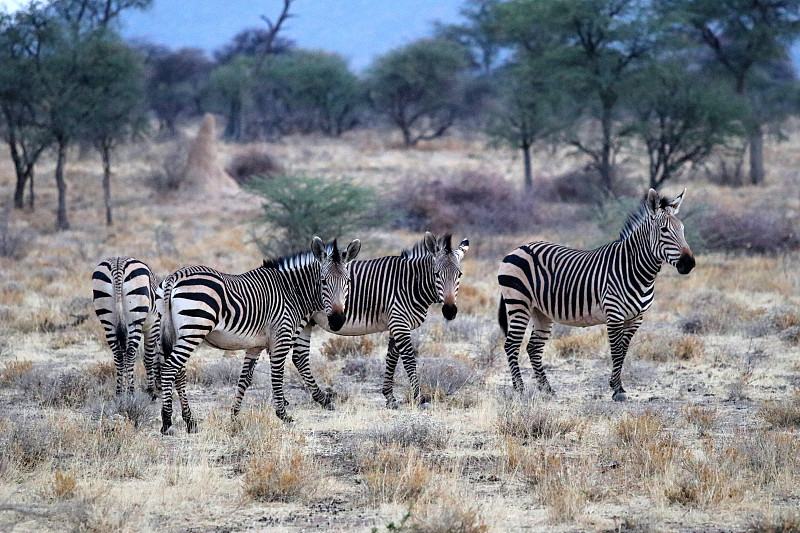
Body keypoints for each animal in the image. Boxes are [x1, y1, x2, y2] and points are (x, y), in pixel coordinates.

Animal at [91, 256, 160, 396]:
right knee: (130, 353)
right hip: (135, 319)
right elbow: (148, 358)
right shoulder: (153, 326)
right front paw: (151, 392)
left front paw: (125, 388)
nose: (160, 387)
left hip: (108, 320)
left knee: (118, 354)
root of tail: (118, 265)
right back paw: (132, 392)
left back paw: (119, 393)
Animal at [157, 237, 362, 432]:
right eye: (323, 281)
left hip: (176, 332)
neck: (291, 292)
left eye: (348, 282)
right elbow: (277, 375)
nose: (337, 320)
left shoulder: (255, 346)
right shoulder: (281, 338)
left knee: (179, 373)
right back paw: (167, 422)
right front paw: (283, 415)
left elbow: (245, 379)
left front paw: (234, 416)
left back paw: (190, 422)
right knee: (169, 369)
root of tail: (175, 276)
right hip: (194, 329)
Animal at [282, 231, 468, 410]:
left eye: (459, 274)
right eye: (436, 275)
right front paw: (420, 398)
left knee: (299, 357)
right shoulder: (399, 322)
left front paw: (390, 398)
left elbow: (392, 358)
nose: (450, 311)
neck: (409, 284)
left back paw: (316, 400)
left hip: (307, 322)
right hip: (296, 319)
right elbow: (409, 359)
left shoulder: (396, 323)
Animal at [500, 189, 692, 402]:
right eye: (664, 230)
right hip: (518, 304)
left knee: (533, 348)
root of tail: (519, 248)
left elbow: (623, 352)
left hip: (540, 311)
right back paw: (519, 389)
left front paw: (616, 386)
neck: (634, 269)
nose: (689, 264)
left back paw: (547, 389)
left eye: (683, 229)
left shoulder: (636, 318)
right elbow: (616, 351)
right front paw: (618, 390)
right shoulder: (614, 315)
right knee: (511, 345)